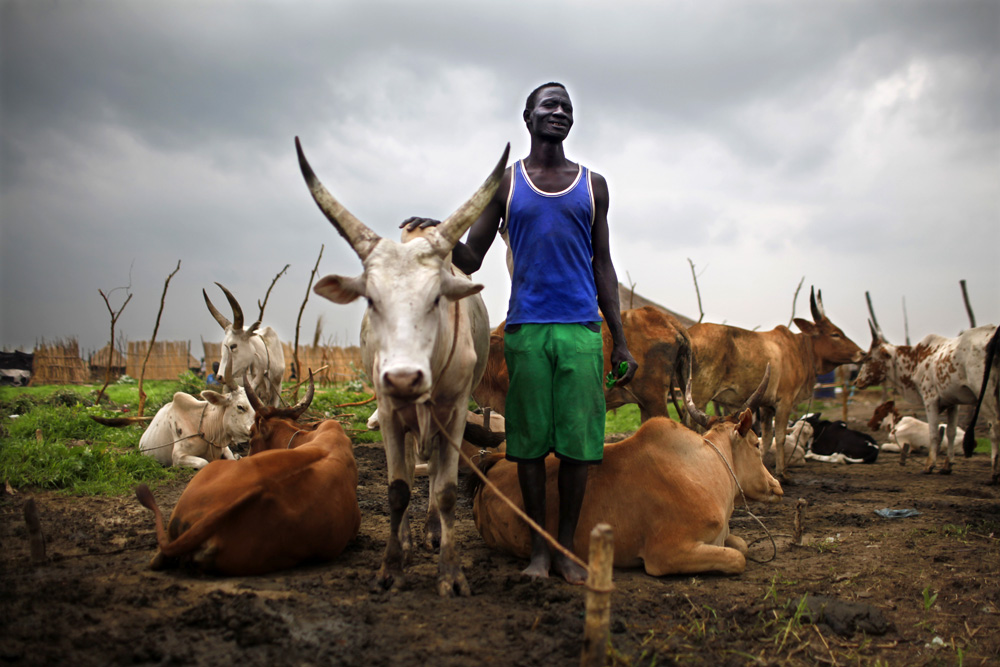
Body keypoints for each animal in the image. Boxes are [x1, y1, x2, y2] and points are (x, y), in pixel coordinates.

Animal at [292, 138, 504, 596]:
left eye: (438, 297)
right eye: (371, 300)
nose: (405, 377)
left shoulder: (455, 412)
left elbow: (445, 489)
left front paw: (450, 573)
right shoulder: (390, 411)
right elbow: (397, 489)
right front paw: (392, 567)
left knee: (434, 475)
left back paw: (430, 532)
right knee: (408, 468)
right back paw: (406, 540)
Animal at [472, 368, 784, 576]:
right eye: (757, 443)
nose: (777, 485)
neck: (706, 469)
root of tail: (490, 471)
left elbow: (741, 545)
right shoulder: (667, 554)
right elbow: (738, 558)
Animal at [688, 288, 860, 480]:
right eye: (835, 334)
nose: (861, 353)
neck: (800, 350)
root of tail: (688, 333)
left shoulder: (766, 406)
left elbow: (767, 438)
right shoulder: (785, 402)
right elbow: (780, 436)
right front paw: (782, 473)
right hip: (700, 395)